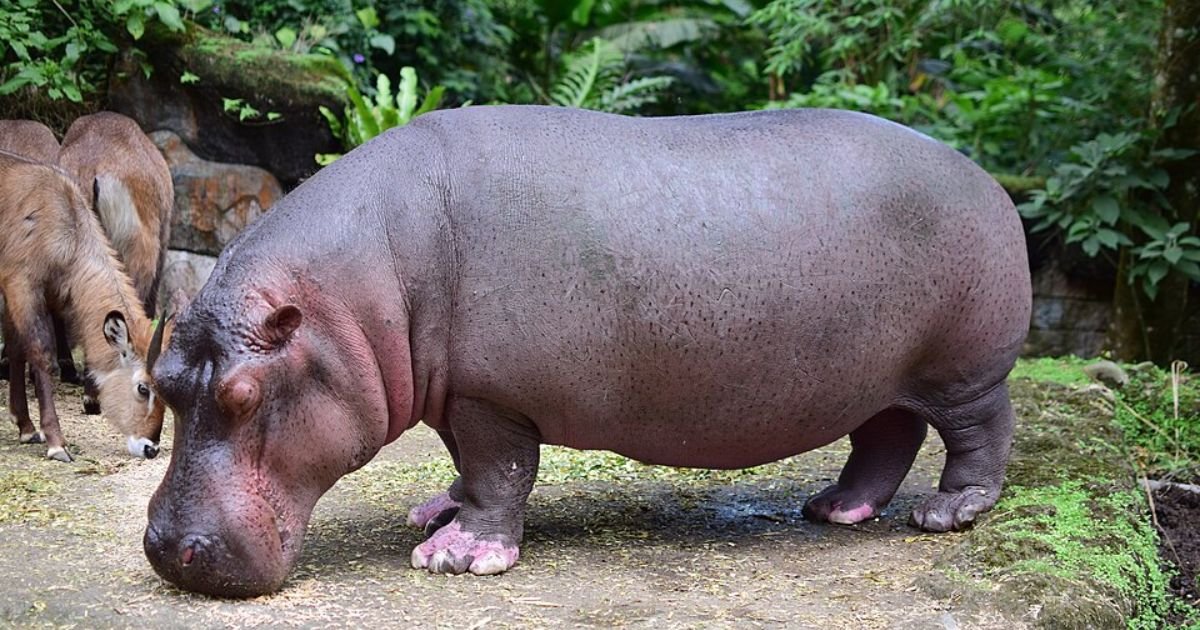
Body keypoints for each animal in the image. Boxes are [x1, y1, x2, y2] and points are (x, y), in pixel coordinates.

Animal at [144, 105, 1031, 597]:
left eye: (244, 398)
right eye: (162, 385)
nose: (164, 550)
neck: (358, 292)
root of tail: (987, 178)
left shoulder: (492, 395)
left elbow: (500, 471)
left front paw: (456, 556)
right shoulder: (453, 394)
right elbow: (466, 465)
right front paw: (435, 511)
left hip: (961, 369)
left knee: (979, 432)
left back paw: (946, 513)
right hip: (878, 376)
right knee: (886, 435)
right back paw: (834, 509)